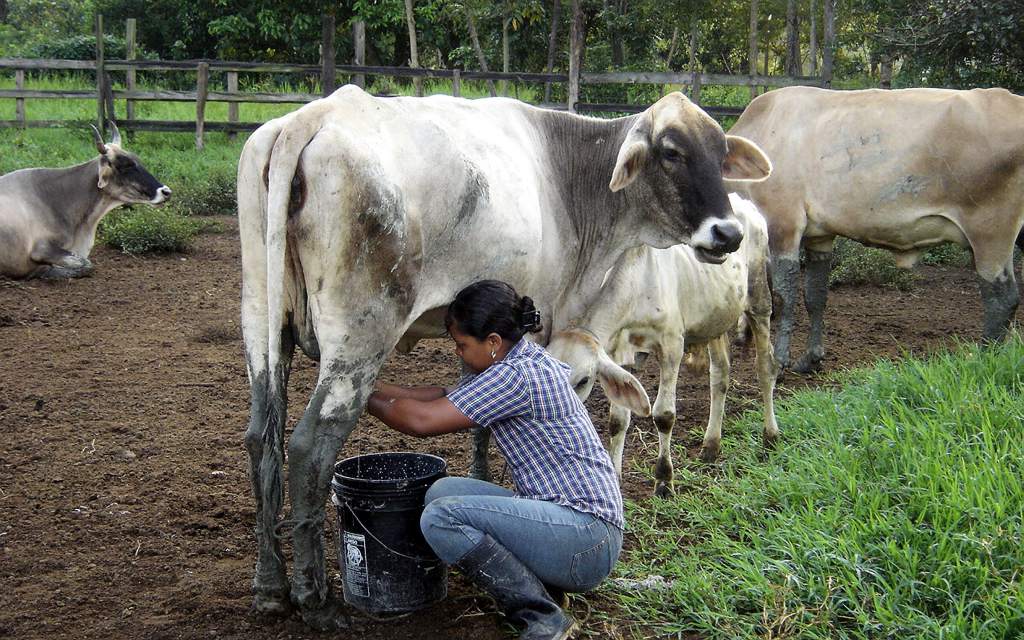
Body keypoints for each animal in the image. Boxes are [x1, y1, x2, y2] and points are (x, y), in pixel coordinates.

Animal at [548, 192, 778, 497]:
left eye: (583, 380)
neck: (638, 283)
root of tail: (744, 203)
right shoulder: (619, 351)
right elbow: (618, 419)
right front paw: (616, 477)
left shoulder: (672, 346)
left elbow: (664, 415)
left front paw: (664, 480)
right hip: (716, 317)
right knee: (720, 375)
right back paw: (711, 445)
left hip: (759, 298)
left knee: (765, 368)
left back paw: (770, 436)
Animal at [729, 87, 1024, 372]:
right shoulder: (819, 236)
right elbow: (815, 296)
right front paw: (810, 359)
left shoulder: (783, 224)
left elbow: (783, 296)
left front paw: (779, 361)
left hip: (990, 230)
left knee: (1002, 298)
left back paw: (984, 359)